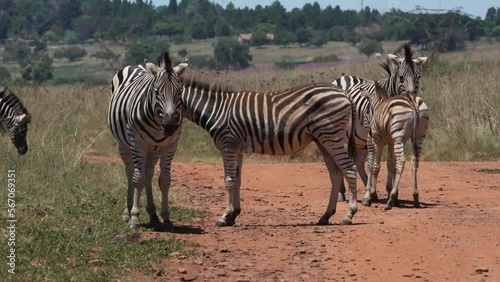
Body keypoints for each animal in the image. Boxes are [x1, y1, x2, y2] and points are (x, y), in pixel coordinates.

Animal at [106, 53, 188, 231]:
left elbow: (164, 180)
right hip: (124, 145)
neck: (158, 122)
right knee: (131, 173)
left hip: (153, 149)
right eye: (157, 92)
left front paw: (166, 218)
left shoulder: (170, 145)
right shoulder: (137, 143)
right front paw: (134, 218)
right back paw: (127, 212)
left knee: (148, 174)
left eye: (179, 92)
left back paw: (153, 215)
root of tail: (136, 65)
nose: (169, 126)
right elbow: (138, 180)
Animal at [179, 76, 360, 227]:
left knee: (350, 169)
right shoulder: (237, 149)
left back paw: (349, 215)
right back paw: (326, 216)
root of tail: (344, 93)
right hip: (322, 139)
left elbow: (229, 180)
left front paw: (224, 217)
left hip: (331, 135)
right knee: (336, 174)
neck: (217, 110)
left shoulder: (228, 145)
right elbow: (237, 179)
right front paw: (233, 215)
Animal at [360, 81, 430, 209]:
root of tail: (411, 100)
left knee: (401, 160)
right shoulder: (391, 143)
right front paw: (394, 195)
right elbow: (390, 164)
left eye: (367, 111)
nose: (368, 131)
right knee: (414, 160)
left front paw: (370, 196)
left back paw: (390, 201)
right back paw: (415, 197)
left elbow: (376, 166)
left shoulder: (378, 141)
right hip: (419, 135)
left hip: (399, 136)